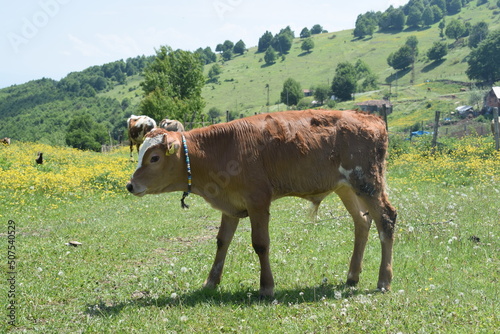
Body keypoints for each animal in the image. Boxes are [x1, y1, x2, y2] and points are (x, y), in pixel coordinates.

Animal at [127, 110, 396, 298]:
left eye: (154, 158)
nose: (130, 185)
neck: (220, 149)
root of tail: (369, 117)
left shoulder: (258, 201)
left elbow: (260, 244)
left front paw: (266, 286)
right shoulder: (231, 205)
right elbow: (222, 241)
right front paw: (211, 281)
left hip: (367, 182)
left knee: (386, 219)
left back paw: (384, 280)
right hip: (347, 187)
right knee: (362, 222)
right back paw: (352, 275)